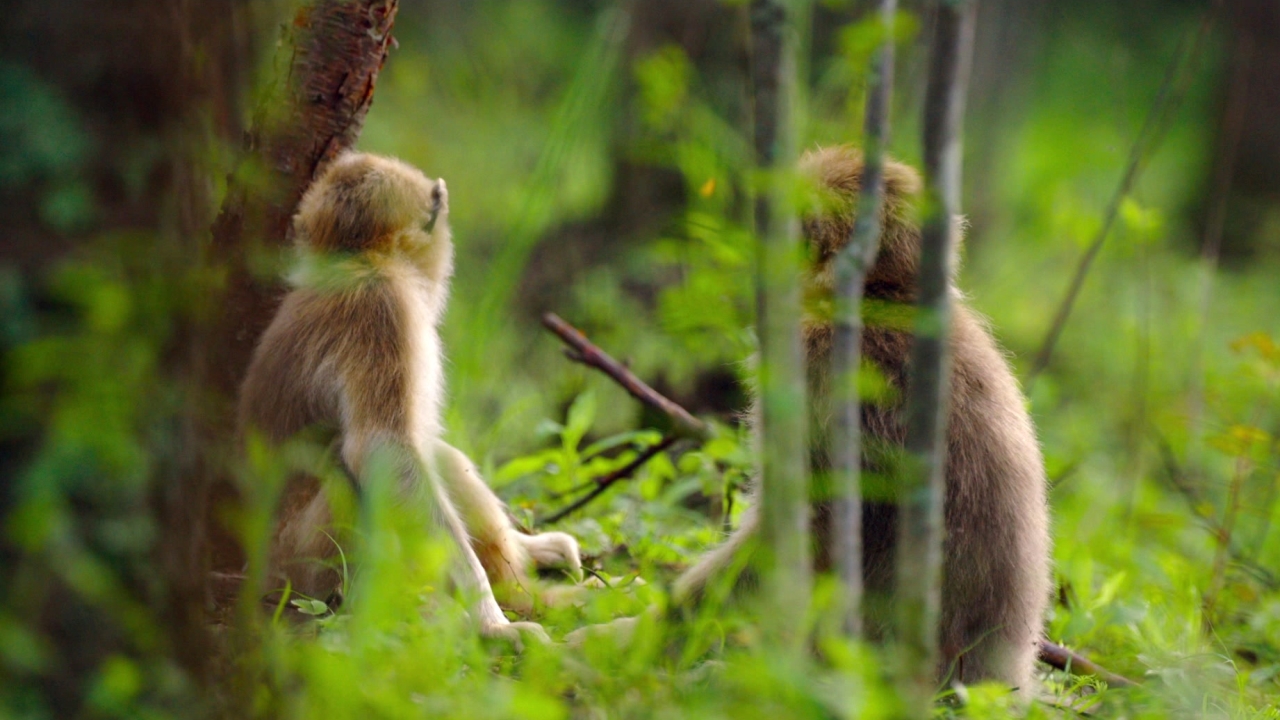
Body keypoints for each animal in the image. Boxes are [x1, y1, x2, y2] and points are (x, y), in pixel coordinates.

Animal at [236, 151, 581, 644]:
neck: (358, 262)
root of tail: (261, 575)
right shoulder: (382, 307)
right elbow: (384, 450)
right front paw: (491, 623)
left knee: (435, 456)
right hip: (305, 567)